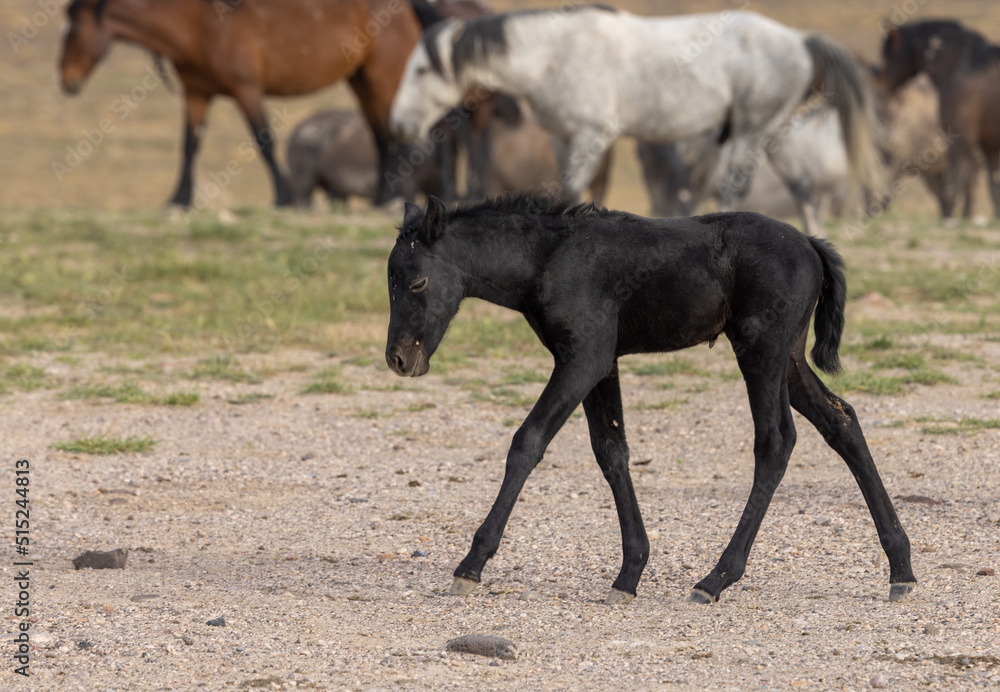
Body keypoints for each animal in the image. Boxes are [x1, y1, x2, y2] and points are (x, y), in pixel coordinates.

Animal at [61, 0, 422, 208]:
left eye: (75, 31)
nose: (66, 81)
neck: (198, 24)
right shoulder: (196, 93)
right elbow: (189, 144)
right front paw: (179, 198)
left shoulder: (246, 90)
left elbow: (264, 141)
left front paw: (283, 196)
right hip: (360, 80)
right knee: (380, 135)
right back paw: (383, 195)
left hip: (384, 77)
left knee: (398, 135)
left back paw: (391, 197)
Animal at [384, 195, 916, 604]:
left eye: (417, 282)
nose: (399, 359)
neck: (547, 257)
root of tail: (811, 245)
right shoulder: (602, 363)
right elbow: (611, 452)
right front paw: (630, 572)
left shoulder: (583, 359)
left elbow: (528, 442)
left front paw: (471, 564)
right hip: (789, 358)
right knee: (842, 421)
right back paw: (901, 567)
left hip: (760, 351)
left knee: (775, 442)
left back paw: (716, 577)